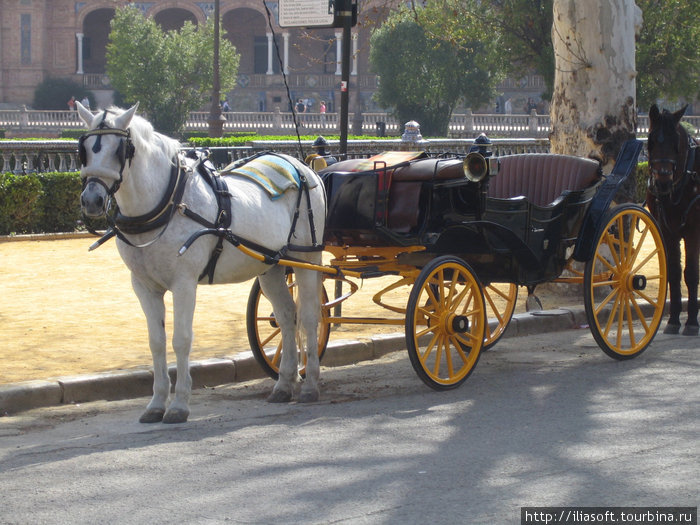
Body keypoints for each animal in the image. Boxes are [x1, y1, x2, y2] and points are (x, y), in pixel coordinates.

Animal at [75, 102, 326, 422]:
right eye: (84, 149)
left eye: (120, 149)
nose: (91, 200)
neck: (168, 204)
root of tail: (303, 167)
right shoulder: (143, 286)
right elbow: (156, 342)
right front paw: (156, 403)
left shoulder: (184, 284)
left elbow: (181, 339)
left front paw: (179, 404)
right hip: (269, 266)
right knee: (286, 316)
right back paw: (284, 384)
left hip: (307, 258)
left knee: (309, 317)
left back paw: (310, 385)